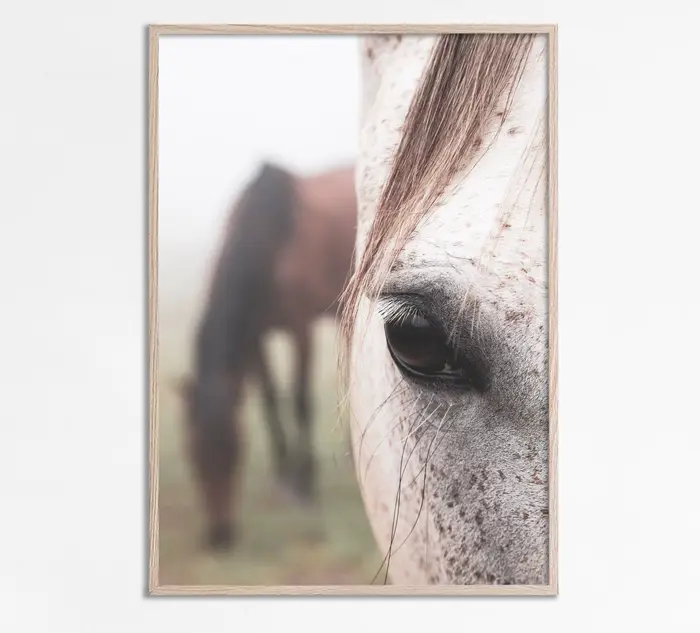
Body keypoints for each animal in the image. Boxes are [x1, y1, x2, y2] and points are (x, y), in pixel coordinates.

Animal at [176, 161, 357, 550]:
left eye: (236, 452)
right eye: (193, 454)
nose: (220, 536)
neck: (269, 237)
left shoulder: (300, 329)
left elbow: (300, 401)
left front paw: (304, 485)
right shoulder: (255, 338)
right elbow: (270, 401)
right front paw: (283, 478)